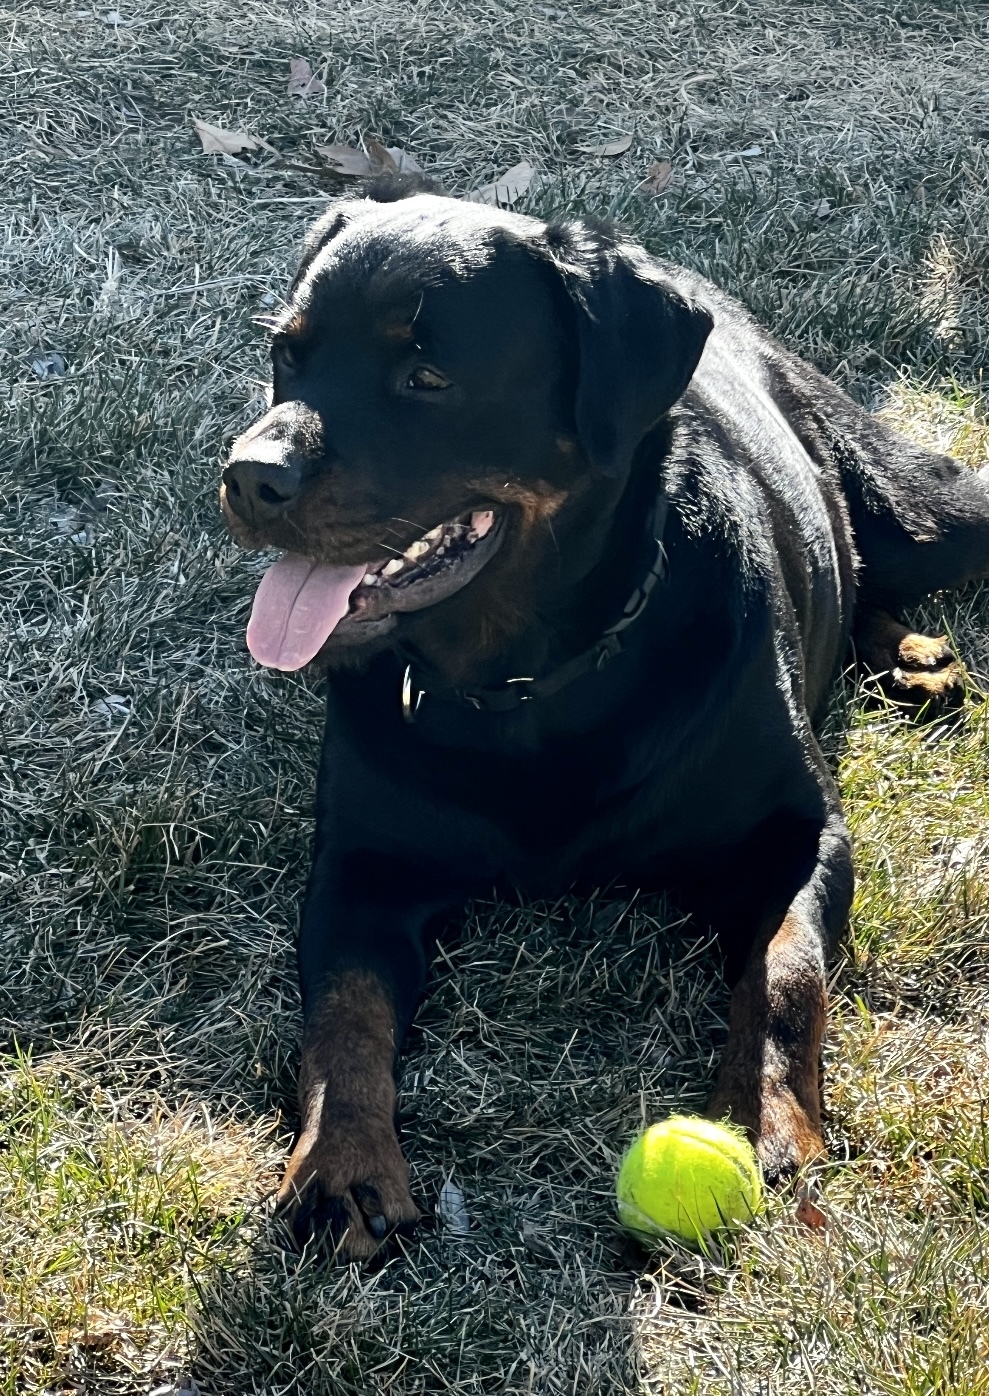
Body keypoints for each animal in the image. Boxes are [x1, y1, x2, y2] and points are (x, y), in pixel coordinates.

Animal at [220, 174, 989, 1256]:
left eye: (426, 374)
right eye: (287, 352)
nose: (249, 475)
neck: (532, 684)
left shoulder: (800, 835)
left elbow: (784, 973)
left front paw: (762, 1118)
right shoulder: (362, 863)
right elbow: (343, 1011)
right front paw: (340, 1159)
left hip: (931, 512)